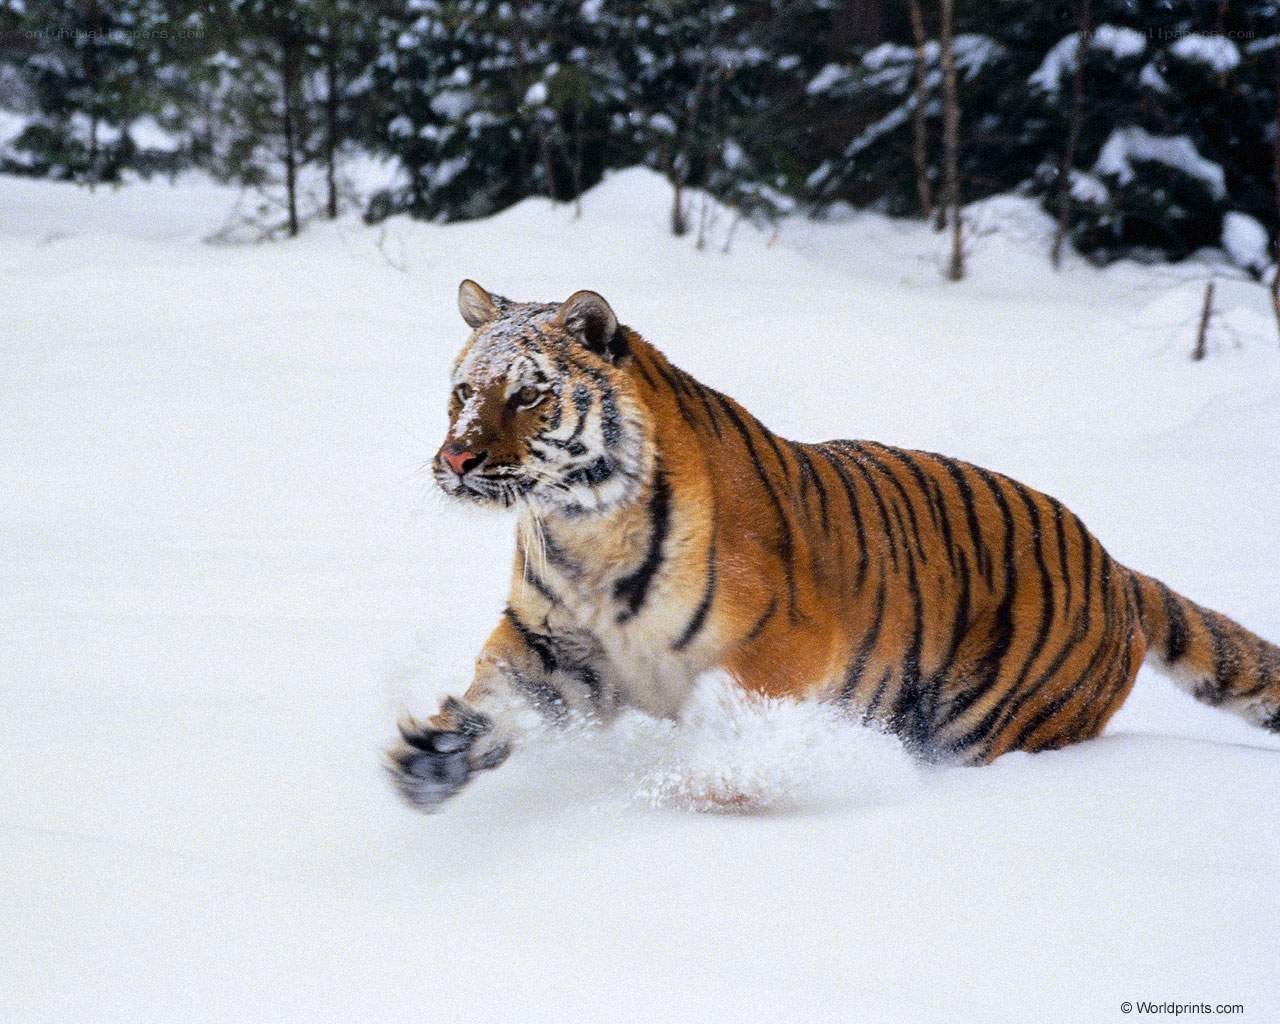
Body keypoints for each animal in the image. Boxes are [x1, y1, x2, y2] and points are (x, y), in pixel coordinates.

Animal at [385, 279, 1280, 811]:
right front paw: (435, 756)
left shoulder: (778, 649)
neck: (580, 526)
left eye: (528, 396)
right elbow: (501, 699)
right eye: (464, 392)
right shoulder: (552, 644)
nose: (456, 458)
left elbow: (732, 728)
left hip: (992, 723)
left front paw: (703, 790)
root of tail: (1118, 568)